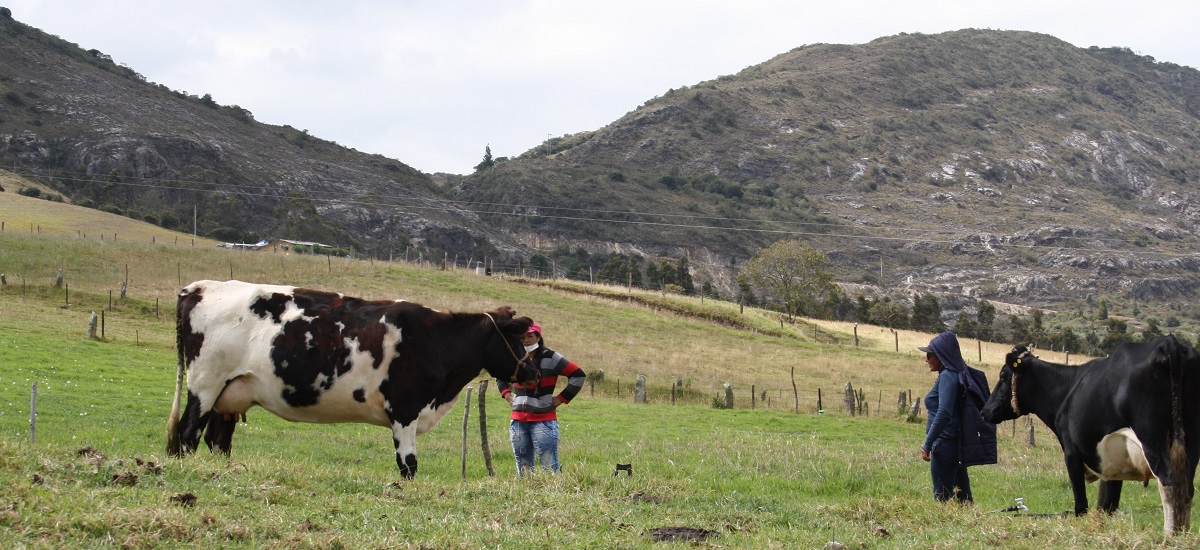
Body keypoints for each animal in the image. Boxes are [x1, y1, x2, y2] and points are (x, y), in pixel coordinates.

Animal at [165, 279, 541, 479]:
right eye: (519, 340)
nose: (535, 374)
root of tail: (200, 287)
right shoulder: (404, 410)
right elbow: (408, 465)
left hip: (229, 394)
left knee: (217, 440)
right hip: (205, 385)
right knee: (187, 434)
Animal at [980, 335, 1200, 535]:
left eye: (1003, 376)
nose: (985, 410)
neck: (1065, 390)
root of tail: (1169, 343)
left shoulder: (1071, 451)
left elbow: (1081, 504)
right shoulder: (1113, 462)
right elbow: (1108, 503)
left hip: (1151, 437)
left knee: (1169, 481)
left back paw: (1170, 535)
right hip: (1191, 443)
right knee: (1186, 488)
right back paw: (1183, 532)